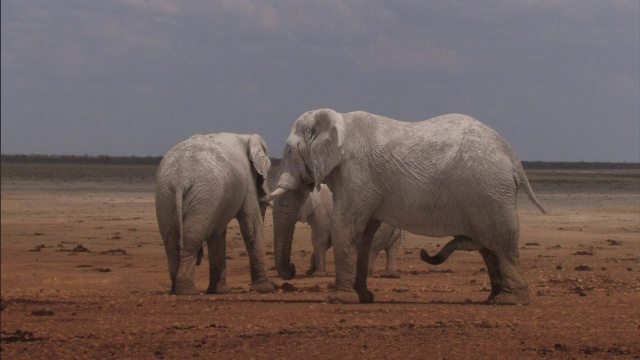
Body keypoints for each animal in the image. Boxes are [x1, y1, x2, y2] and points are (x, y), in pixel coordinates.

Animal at [156, 133, 276, 296]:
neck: (246, 137)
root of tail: (180, 179)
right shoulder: (247, 180)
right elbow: (251, 227)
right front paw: (266, 290)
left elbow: (217, 233)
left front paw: (219, 291)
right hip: (204, 194)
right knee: (191, 238)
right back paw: (188, 291)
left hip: (166, 194)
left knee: (171, 240)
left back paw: (175, 290)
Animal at [272, 109, 548, 304]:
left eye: (289, 151)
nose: (293, 270)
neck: (338, 120)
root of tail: (514, 159)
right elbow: (365, 234)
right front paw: (364, 298)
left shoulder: (356, 173)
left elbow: (347, 226)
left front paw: (340, 299)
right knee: (489, 247)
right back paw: (492, 299)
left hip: (491, 191)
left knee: (500, 242)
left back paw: (509, 301)